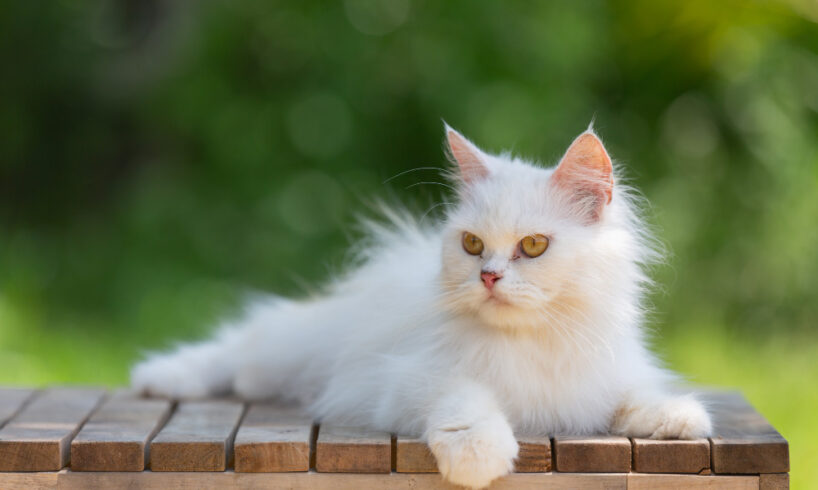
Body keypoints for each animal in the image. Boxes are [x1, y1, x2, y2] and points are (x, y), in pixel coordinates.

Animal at [132, 125, 708, 490]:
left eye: (534, 246)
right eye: (473, 245)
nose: (488, 276)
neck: (531, 344)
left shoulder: (607, 376)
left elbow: (637, 397)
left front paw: (680, 418)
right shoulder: (411, 380)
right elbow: (467, 404)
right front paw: (478, 460)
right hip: (291, 344)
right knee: (234, 348)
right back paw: (158, 378)